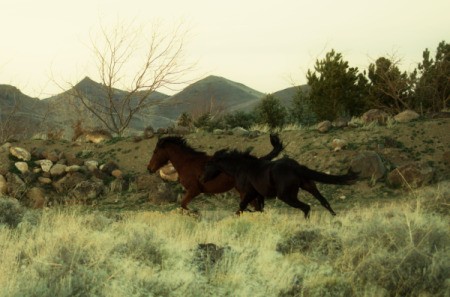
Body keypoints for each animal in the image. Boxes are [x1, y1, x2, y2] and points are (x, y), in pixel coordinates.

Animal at [146, 134, 284, 210]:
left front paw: (197, 214)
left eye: (155, 152)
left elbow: (183, 205)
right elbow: (182, 206)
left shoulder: (194, 190)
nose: (149, 169)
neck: (186, 162)